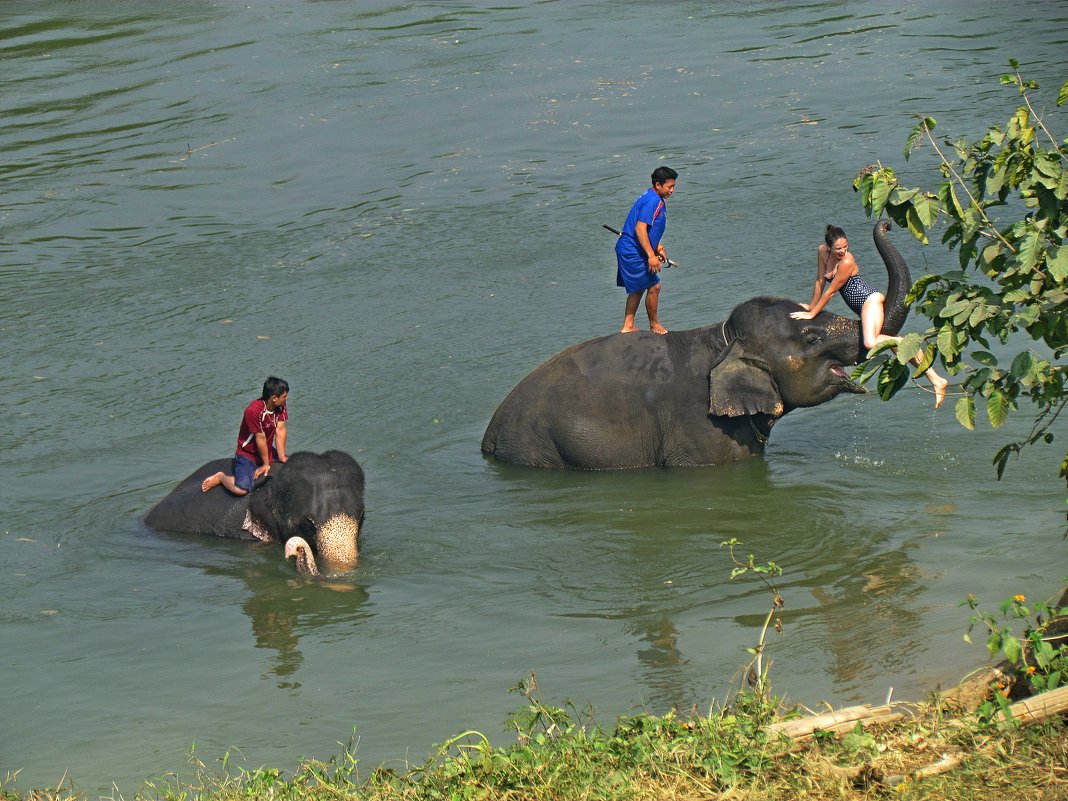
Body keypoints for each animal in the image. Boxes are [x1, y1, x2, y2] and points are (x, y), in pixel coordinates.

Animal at [484, 221, 909, 469]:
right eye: (813, 339)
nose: (887, 220)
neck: (723, 340)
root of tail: (489, 437)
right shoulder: (699, 429)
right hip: (538, 447)